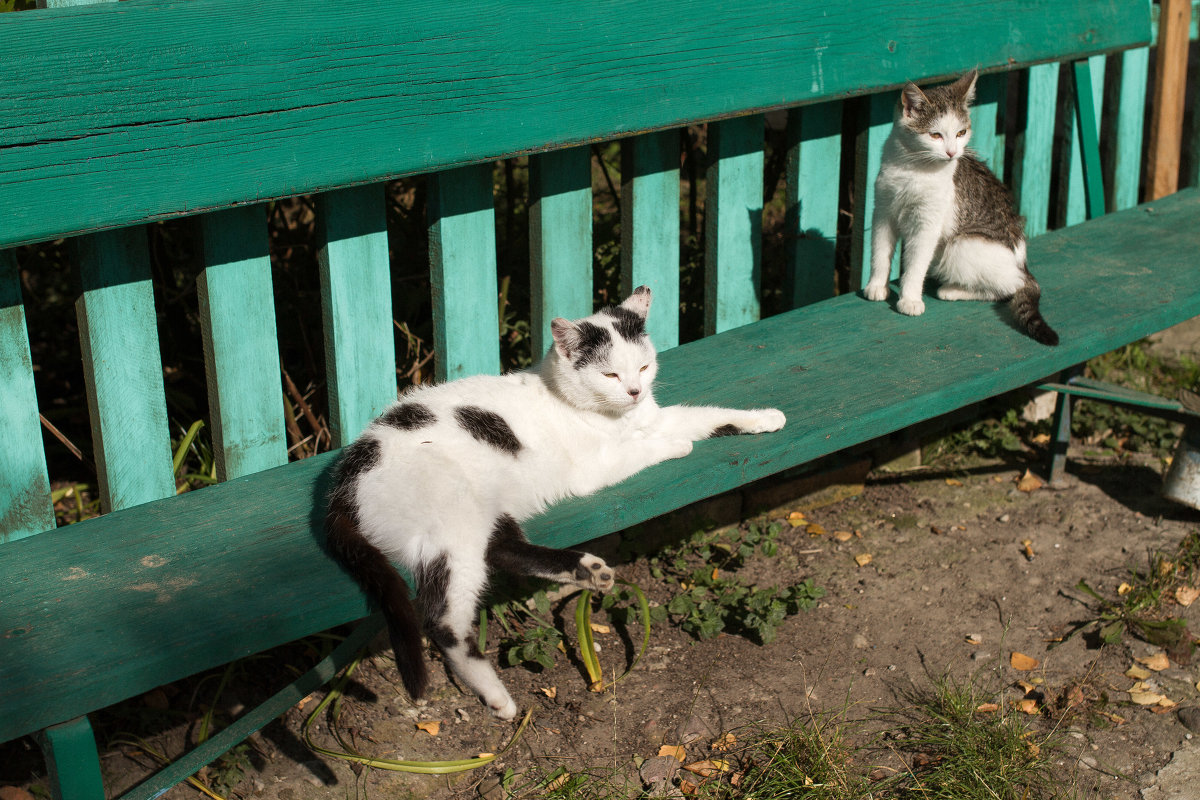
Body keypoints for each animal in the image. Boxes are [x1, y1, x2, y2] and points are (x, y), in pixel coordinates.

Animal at [324, 286, 787, 719]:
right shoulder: (596, 467)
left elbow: (706, 414)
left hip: (482, 516)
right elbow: (651, 445)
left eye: (642, 366)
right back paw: (496, 696)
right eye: (610, 375)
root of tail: (344, 484)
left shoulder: (656, 415)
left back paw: (588, 571)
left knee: (504, 550)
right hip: (455, 521)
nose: (635, 391)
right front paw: (677, 445)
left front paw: (764, 417)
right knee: (444, 620)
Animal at [864, 68, 1060, 345]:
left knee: (1010, 287)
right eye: (935, 135)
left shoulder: (927, 224)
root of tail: (1023, 265)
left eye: (961, 132)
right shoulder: (883, 211)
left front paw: (909, 298)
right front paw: (877, 286)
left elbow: (915, 263)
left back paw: (952, 290)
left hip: (961, 246)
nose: (952, 153)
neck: (912, 166)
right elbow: (879, 253)